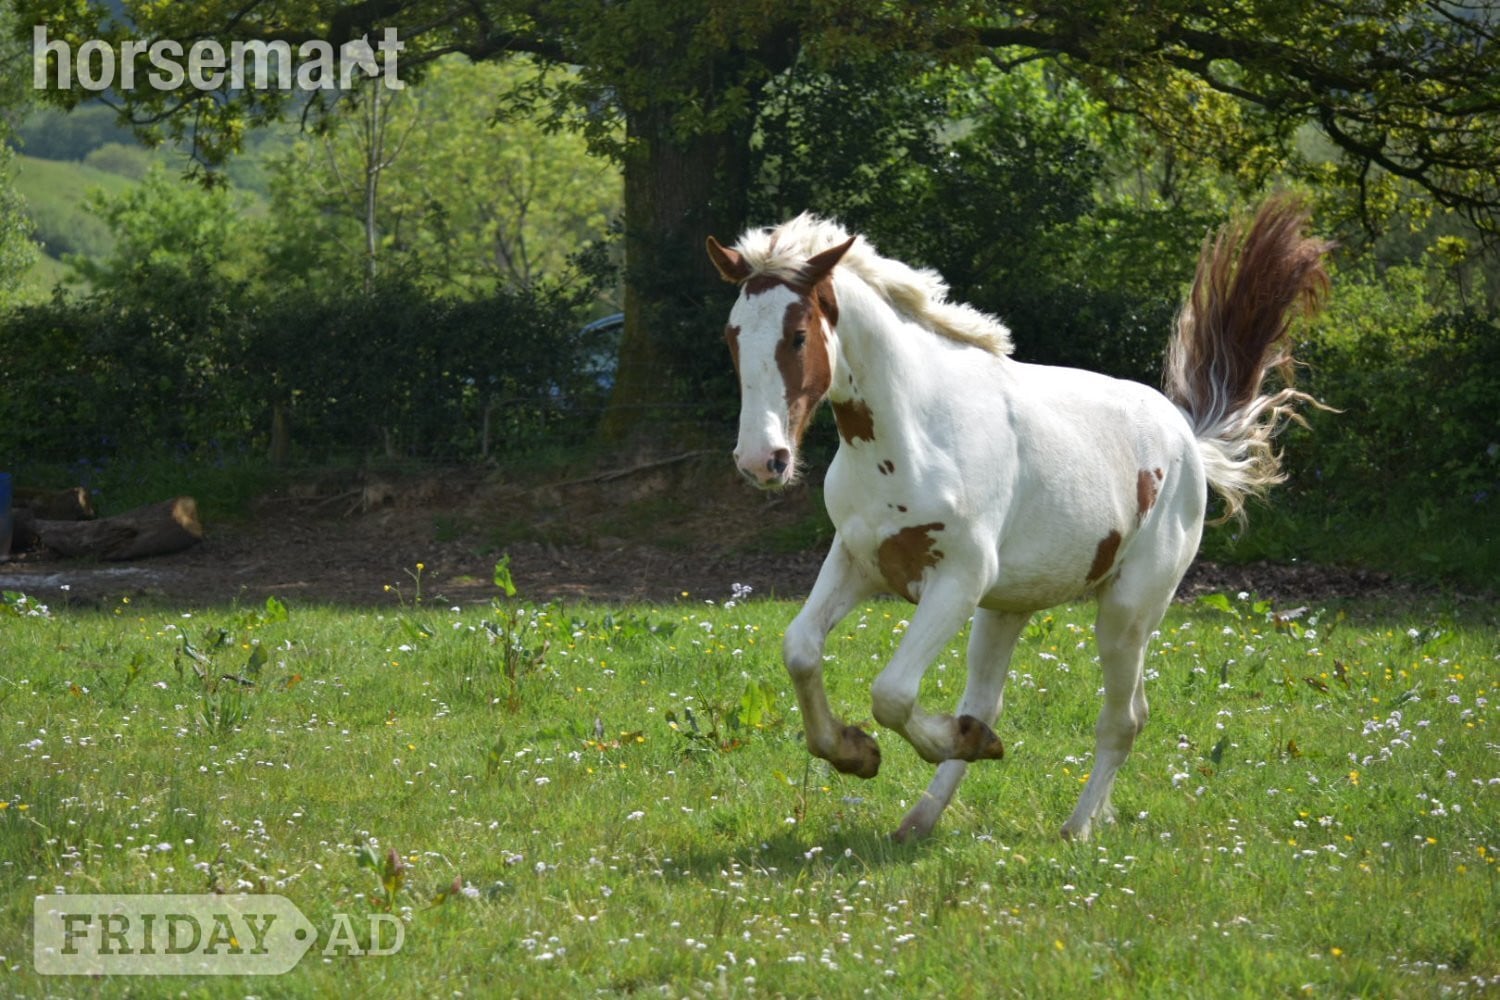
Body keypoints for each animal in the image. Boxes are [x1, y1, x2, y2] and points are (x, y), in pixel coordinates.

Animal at [706, 196, 1331, 841]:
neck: (916, 433)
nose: (762, 460)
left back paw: (1077, 826)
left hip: (1128, 611)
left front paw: (928, 743)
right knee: (991, 700)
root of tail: (1186, 433)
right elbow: (801, 649)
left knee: (1124, 718)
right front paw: (856, 752)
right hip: (1006, 608)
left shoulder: (958, 579)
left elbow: (892, 692)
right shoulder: (859, 559)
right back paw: (925, 816)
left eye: (799, 334)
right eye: (732, 335)